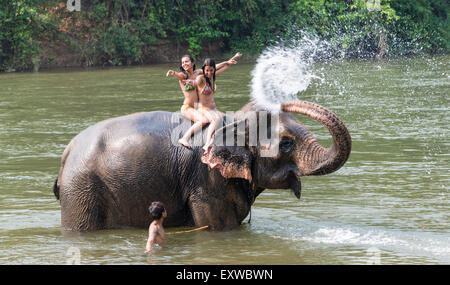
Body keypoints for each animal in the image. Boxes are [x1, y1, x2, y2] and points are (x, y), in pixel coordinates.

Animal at [51, 100, 348, 231]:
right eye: (286, 143)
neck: (231, 120)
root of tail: (67, 153)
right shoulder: (206, 179)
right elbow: (219, 226)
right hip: (82, 191)